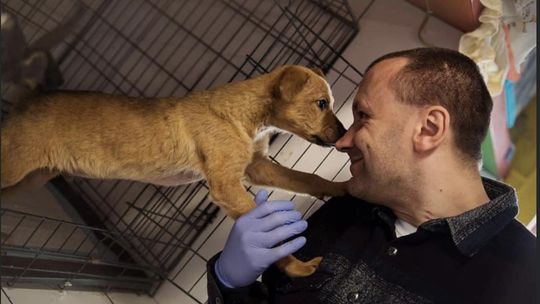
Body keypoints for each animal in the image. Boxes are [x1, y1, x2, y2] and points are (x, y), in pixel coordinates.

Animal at [0, 64, 346, 278]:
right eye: (320, 103)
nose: (344, 134)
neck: (245, 114)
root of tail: (22, 105)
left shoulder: (257, 168)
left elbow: (306, 179)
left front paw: (344, 188)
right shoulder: (226, 185)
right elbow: (270, 242)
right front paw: (297, 268)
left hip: (31, 178)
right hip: (14, 170)